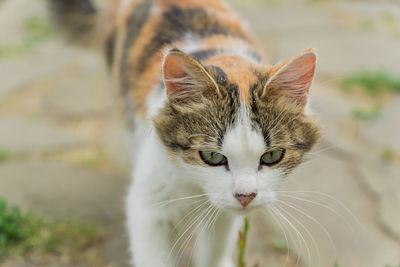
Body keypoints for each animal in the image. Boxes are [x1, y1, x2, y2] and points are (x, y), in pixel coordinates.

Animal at [47, 1, 322, 266]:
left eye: (272, 156)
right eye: (211, 156)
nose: (245, 197)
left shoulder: (223, 212)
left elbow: (214, 249)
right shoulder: (149, 204)